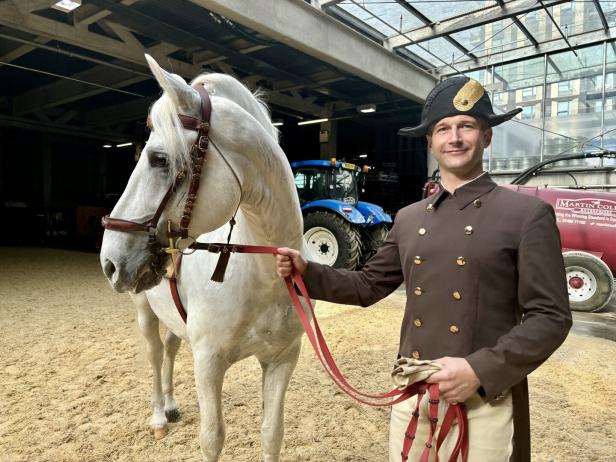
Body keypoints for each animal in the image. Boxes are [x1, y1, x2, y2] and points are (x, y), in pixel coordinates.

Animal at [102, 55, 308, 462]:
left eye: (159, 159)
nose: (110, 260)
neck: (262, 275)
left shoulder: (282, 360)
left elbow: (271, 434)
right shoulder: (208, 363)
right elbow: (212, 439)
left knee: (169, 348)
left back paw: (170, 406)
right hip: (143, 309)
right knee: (154, 354)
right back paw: (158, 417)